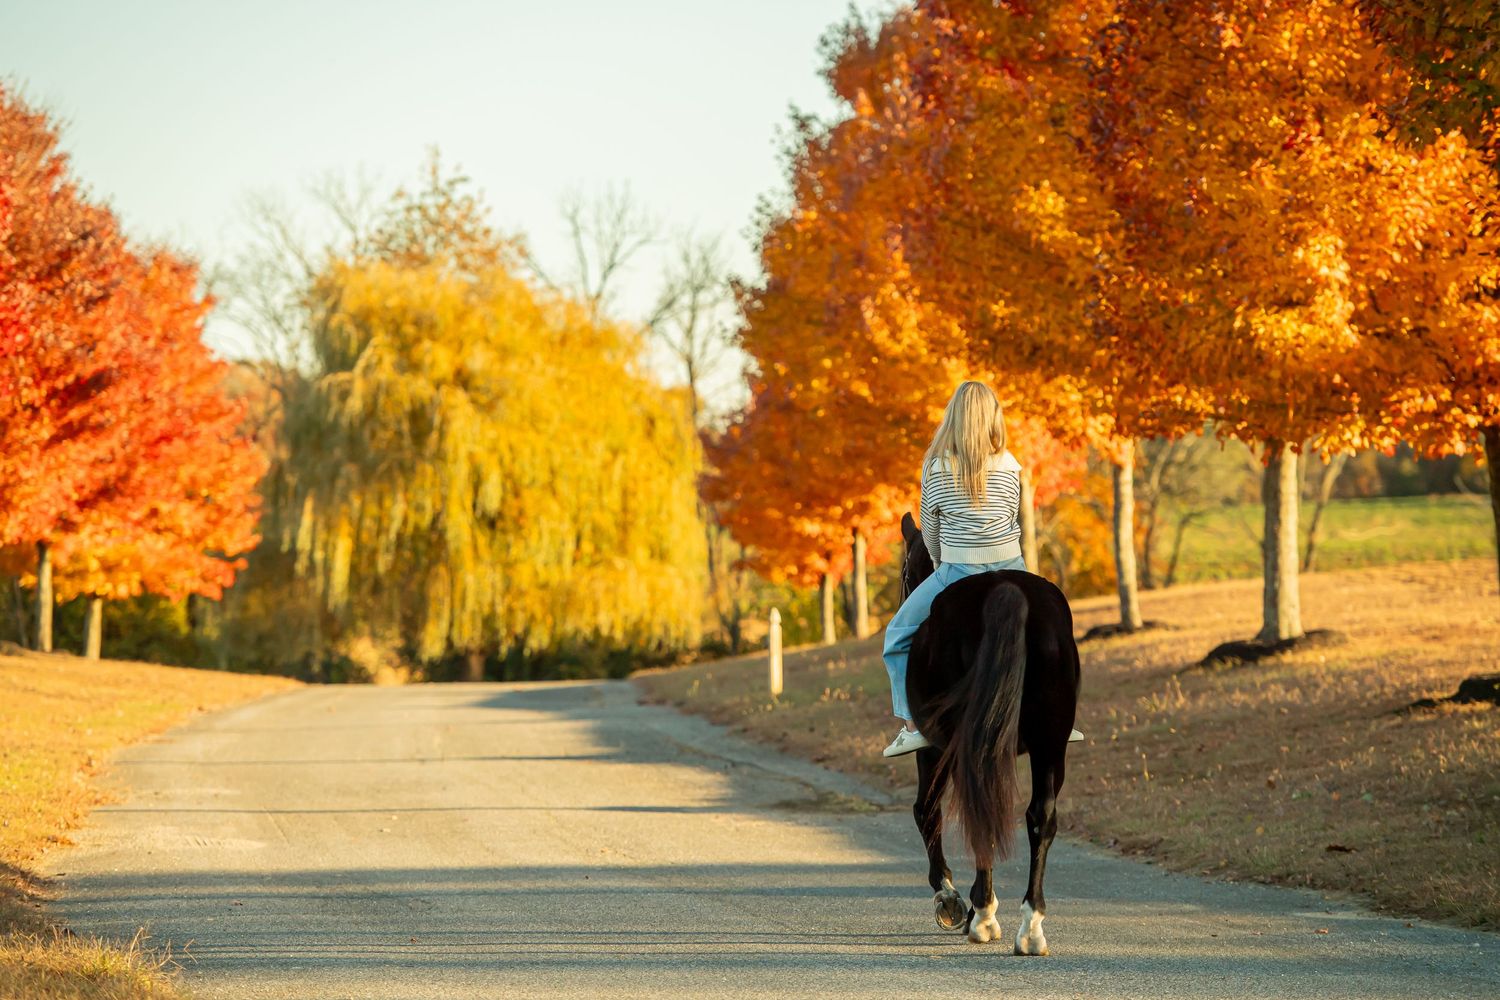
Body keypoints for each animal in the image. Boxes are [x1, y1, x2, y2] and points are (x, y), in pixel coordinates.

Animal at [897, 512, 1081, 954]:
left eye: (905, 573)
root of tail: (1005, 593)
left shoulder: (934, 748)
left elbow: (926, 810)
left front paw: (950, 899)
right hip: (1050, 744)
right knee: (1039, 817)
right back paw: (1030, 926)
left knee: (975, 810)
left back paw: (981, 914)